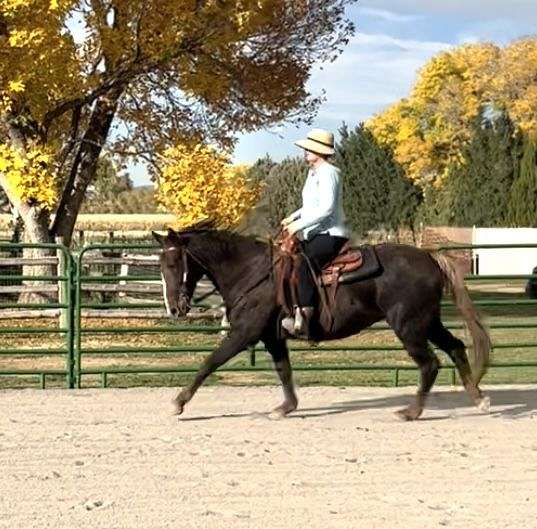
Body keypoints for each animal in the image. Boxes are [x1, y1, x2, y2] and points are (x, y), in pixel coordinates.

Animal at [151, 224, 490, 420]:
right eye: (160, 263)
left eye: (174, 262)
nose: (174, 309)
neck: (251, 272)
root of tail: (430, 258)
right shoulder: (273, 337)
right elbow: (284, 371)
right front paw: (285, 408)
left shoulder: (244, 333)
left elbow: (209, 362)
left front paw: (178, 403)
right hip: (427, 322)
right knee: (456, 348)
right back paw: (478, 398)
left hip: (409, 326)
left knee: (430, 363)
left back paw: (411, 411)